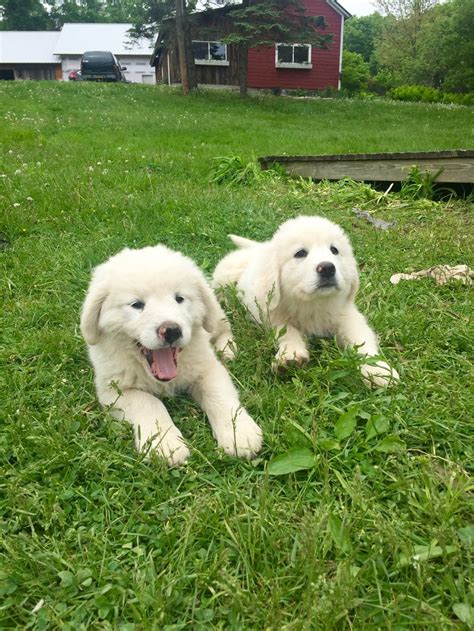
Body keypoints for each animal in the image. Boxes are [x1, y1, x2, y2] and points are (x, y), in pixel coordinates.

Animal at [79, 244, 262, 466]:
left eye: (179, 299)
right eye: (136, 304)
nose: (172, 330)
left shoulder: (208, 368)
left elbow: (218, 395)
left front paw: (238, 433)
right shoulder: (114, 390)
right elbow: (149, 403)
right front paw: (165, 444)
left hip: (216, 316)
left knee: (223, 328)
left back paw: (227, 348)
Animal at [215, 215, 400, 388]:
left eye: (334, 250)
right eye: (300, 253)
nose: (327, 268)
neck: (314, 303)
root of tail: (258, 248)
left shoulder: (347, 315)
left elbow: (361, 340)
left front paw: (378, 370)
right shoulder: (273, 315)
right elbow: (288, 332)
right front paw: (290, 356)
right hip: (223, 278)